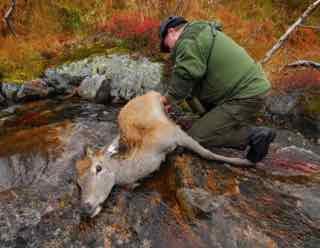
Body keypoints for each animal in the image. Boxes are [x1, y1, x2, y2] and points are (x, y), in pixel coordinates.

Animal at [75, 90, 252, 217]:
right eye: (78, 183)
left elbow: (207, 153)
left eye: (98, 168)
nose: (85, 208)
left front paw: (245, 162)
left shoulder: (175, 133)